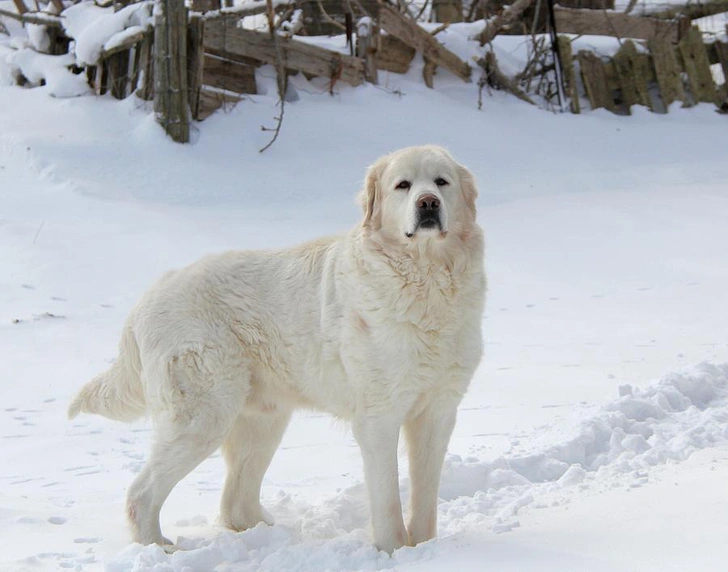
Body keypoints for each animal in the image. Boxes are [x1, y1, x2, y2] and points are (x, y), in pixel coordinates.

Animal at [68, 146, 484, 556]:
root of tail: (149, 295)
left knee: (235, 504)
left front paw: (427, 548)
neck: (426, 278)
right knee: (142, 495)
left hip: (262, 420)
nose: (428, 203)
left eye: (441, 182)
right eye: (403, 185)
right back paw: (160, 549)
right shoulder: (378, 416)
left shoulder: (439, 412)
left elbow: (425, 496)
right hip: (202, 417)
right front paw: (394, 552)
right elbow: (387, 499)